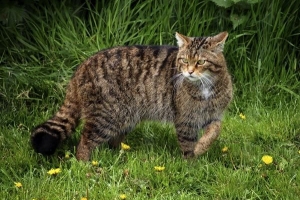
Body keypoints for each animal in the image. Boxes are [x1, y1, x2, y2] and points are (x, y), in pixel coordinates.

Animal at [31, 31, 232, 161]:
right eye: (183, 60)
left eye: (200, 62)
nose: (189, 72)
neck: (206, 87)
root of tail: (82, 66)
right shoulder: (185, 120)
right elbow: (187, 146)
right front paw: (191, 164)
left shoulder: (213, 116)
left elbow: (215, 131)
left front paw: (202, 146)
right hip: (106, 117)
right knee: (84, 143)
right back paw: (86, 167)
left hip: (126, 117)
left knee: (112, 142)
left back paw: (121, 156)